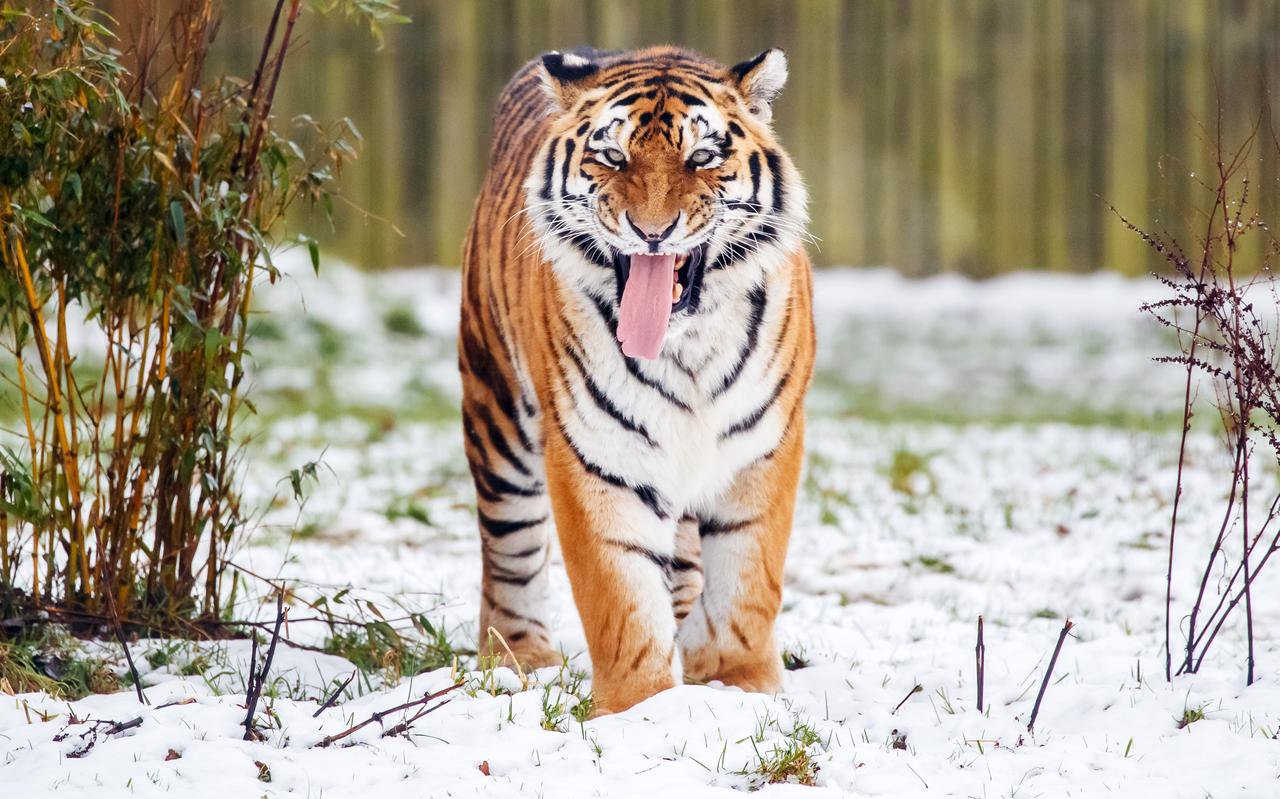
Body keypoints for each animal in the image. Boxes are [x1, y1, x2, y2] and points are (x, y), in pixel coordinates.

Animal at [459, 45, 814, 715]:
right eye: (612, 156)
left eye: (702, 157)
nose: (653, 231)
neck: (687, 344)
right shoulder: (597, 455)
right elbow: (621, 598)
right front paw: (642, 709)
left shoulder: (764, 446)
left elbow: (747, 580)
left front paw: (740, 683)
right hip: (497, 413)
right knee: (510, 548)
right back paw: (520, 658)